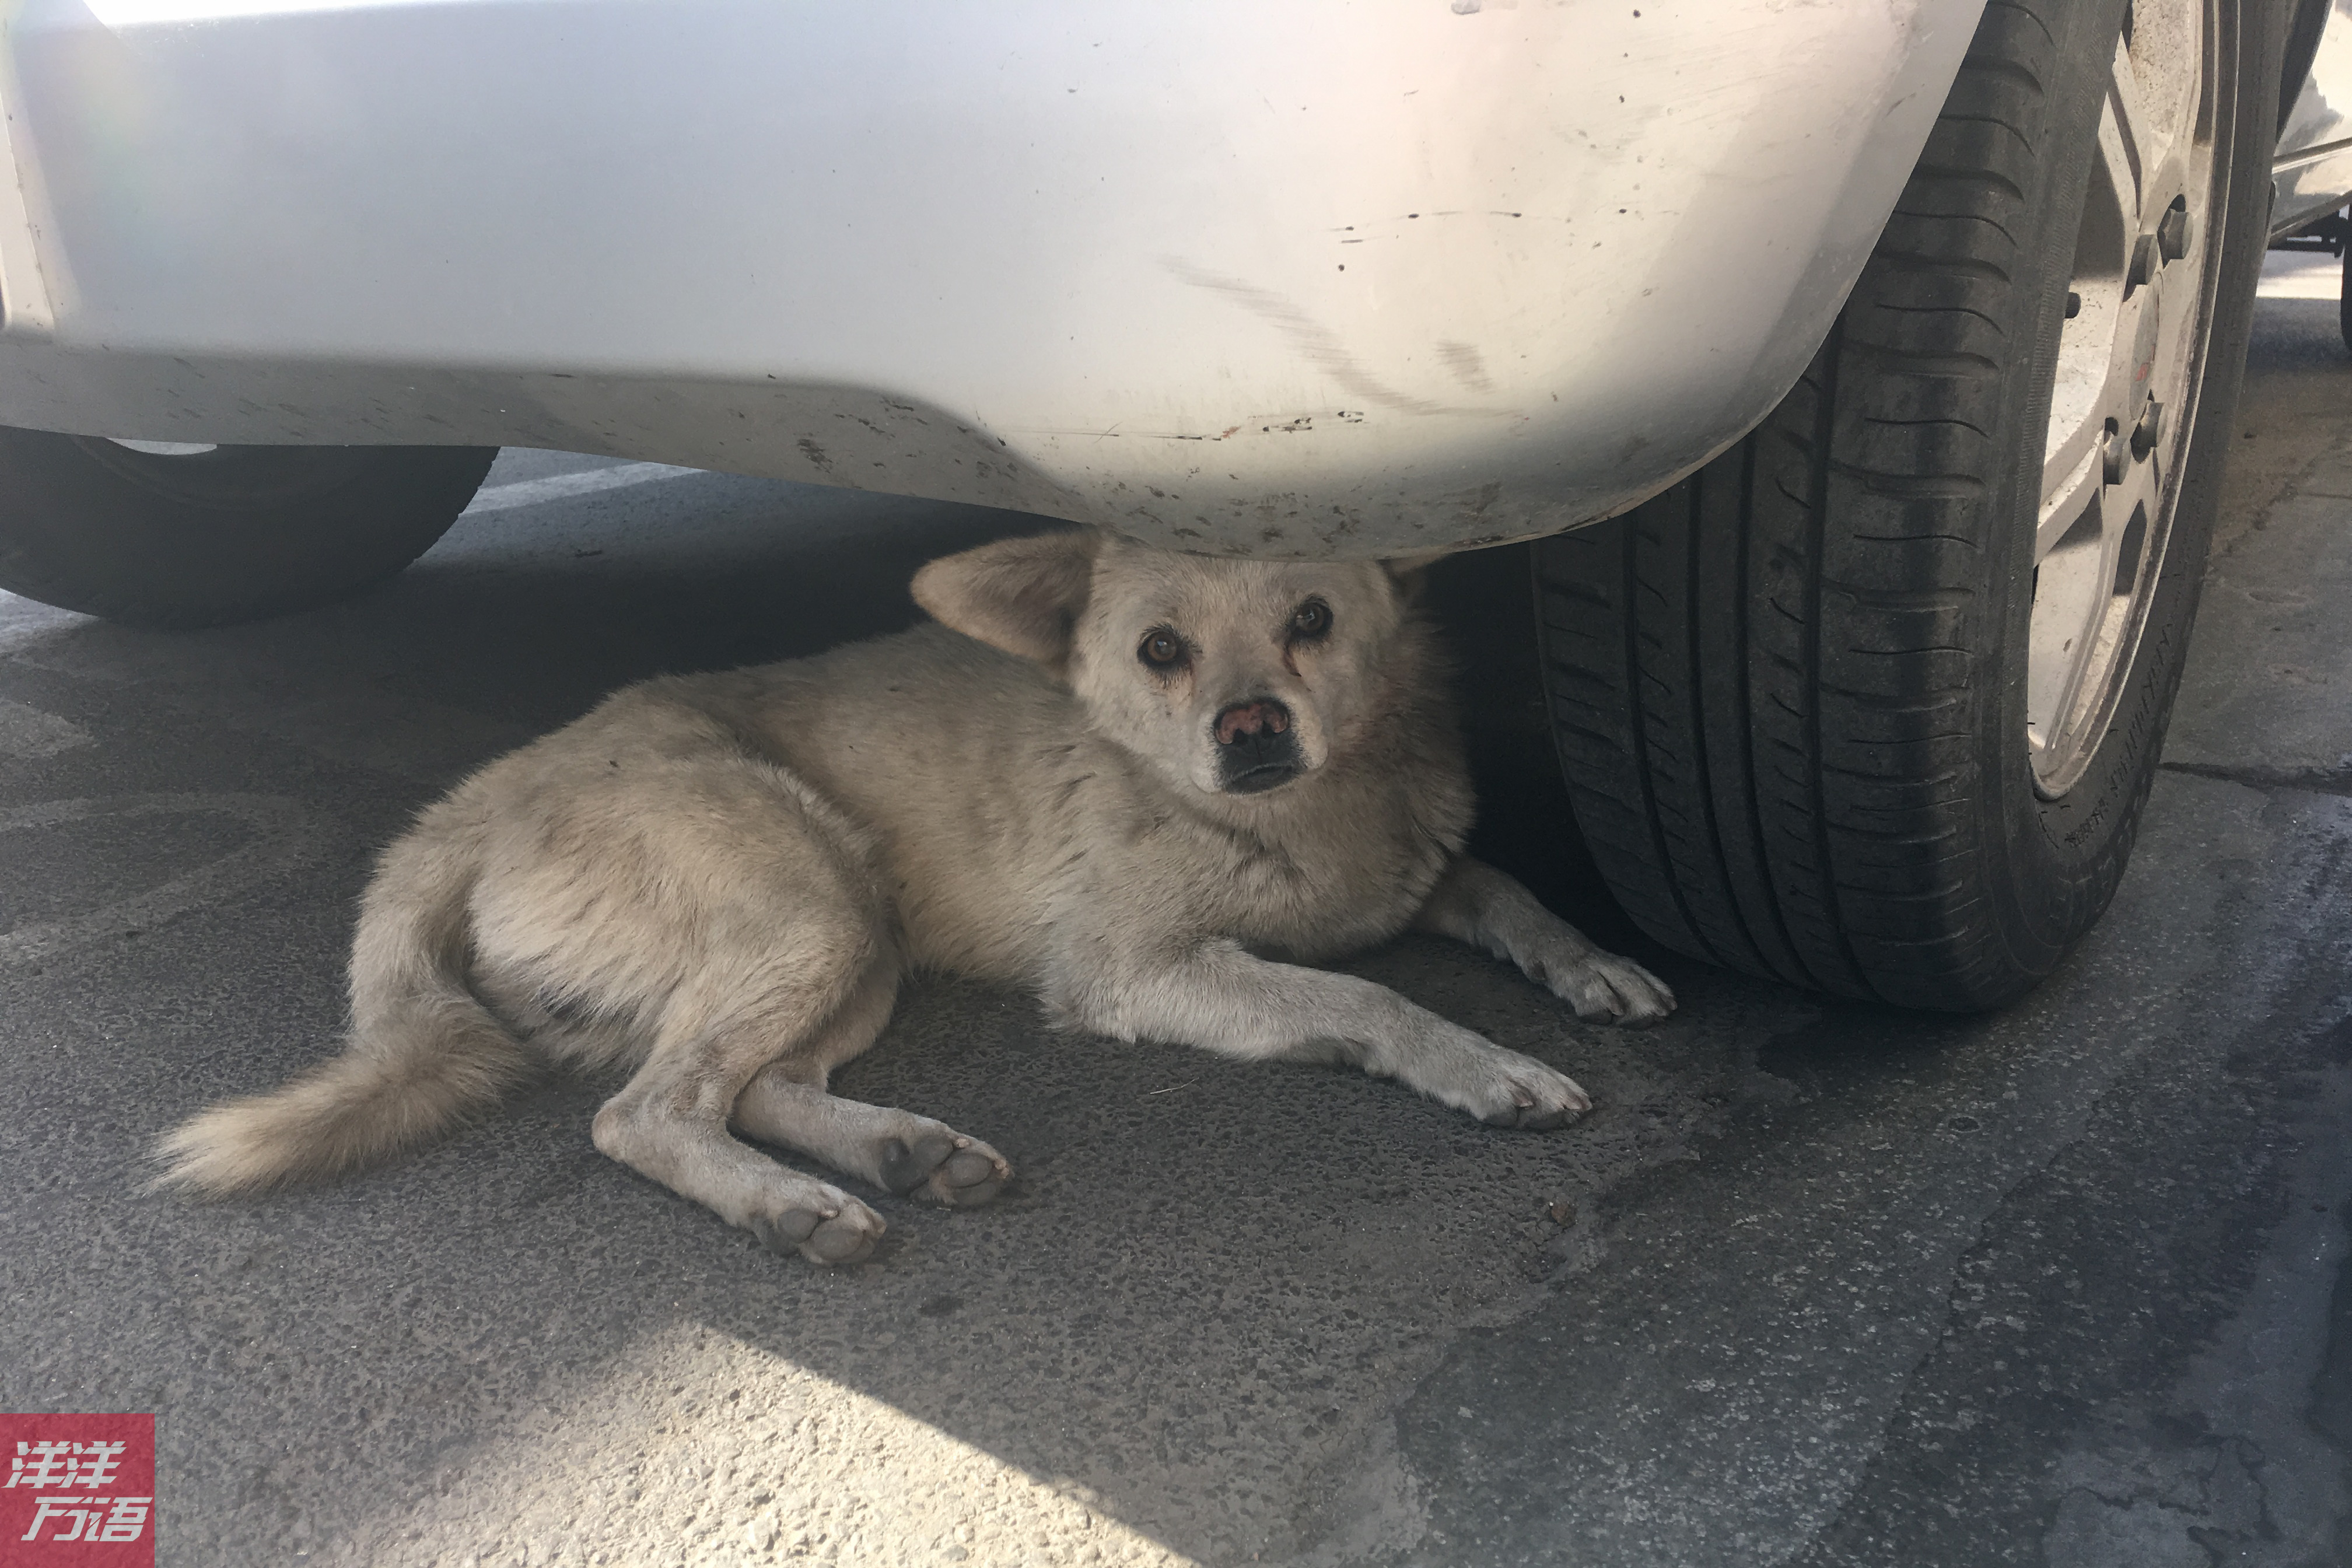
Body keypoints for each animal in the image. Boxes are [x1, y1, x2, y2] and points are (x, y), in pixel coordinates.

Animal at [156, 533, 1674, 1269]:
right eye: (1160, 651)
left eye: (1315, 621)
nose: (1251, 731)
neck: (1300, 816)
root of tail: (477, 797)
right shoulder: (1138, 971)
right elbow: (1362, 994)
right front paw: (1484, 1065)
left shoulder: (1418, 872)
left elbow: (1502, 887)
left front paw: (1591, 961)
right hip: (812, 906)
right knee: (643, 1109)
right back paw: (793, 1209)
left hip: (854, 942)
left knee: (747, 1084)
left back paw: (896, 1152)